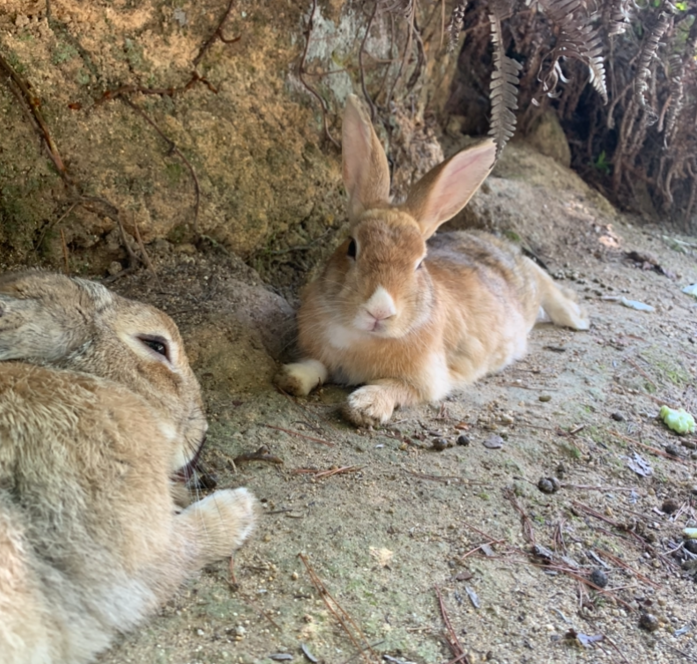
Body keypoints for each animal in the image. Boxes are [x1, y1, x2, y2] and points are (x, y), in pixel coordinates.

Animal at [274, 94, 588, 426]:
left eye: (419, 263)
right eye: (352, 247)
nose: (379, 311)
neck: (361, 336)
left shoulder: (426, 381)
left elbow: (395, 388)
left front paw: (365, 406)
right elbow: (316, 365)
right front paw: (292, 377)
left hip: (533, 284)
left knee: (550, 288)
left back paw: (579, 319)